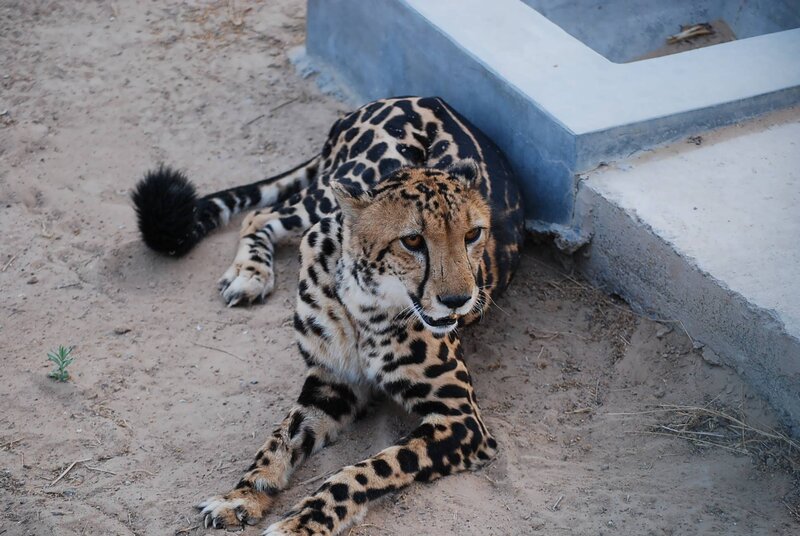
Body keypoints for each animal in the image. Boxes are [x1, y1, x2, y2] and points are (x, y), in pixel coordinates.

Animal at [132, 96, 525, 535]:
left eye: (473, 234)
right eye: (412, 241)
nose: (460, 299)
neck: (366, 302)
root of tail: (416, 96)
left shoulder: (461, 419)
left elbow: (365, 469)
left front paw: (300, 522)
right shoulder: (330, 381)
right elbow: (280, 438)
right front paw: (243, 494)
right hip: (341, 183)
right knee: (262, 214)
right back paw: (251, 273)